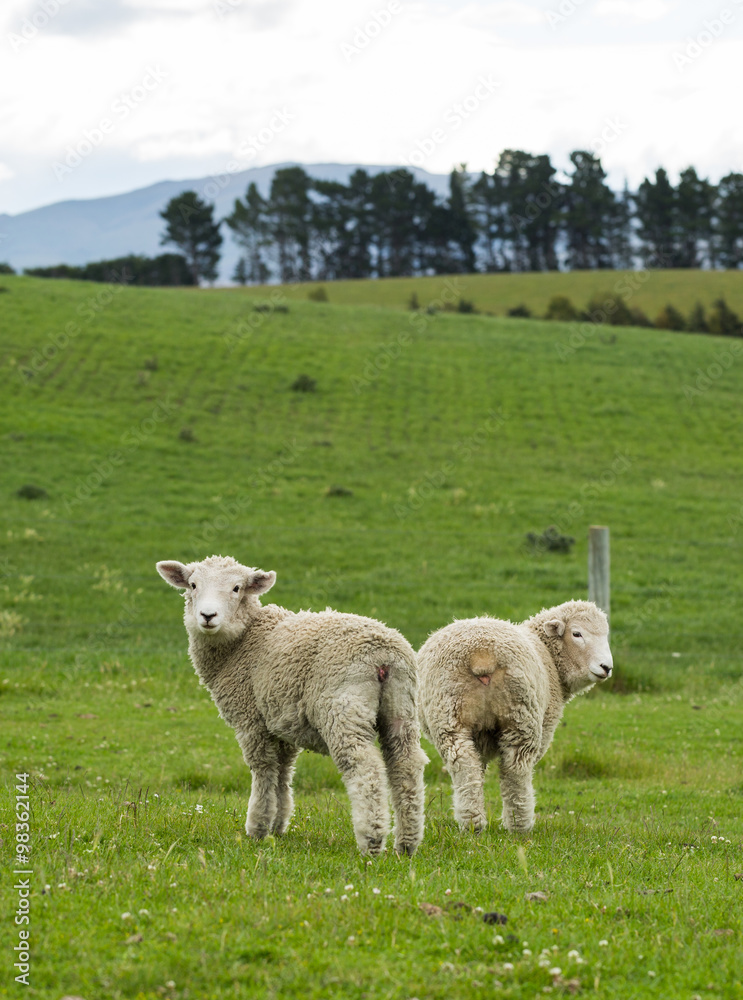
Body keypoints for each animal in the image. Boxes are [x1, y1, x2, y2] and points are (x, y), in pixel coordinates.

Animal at [156, 555, 428, 856]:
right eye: (193, 585)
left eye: (237, 588)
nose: (207, 616)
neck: (243, 641)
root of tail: (384, 654)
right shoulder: (282, 721)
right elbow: (283, 771)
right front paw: (278, 824)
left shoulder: (251, 718)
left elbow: (263, 769)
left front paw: (258, 828)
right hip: (401, 706)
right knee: (406, 764)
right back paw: (407, 843)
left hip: (342, 705)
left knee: (363, 765)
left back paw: (371, 841)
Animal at [417, 600, 612, 834]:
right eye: (577, 633)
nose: (606, 667)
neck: (548, 655)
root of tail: (481, 653)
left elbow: (478, 768)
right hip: (521, 715)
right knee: (515, 770)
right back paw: (519, 825)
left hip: (448, 714)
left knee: (465, 766)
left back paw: (472, 823)